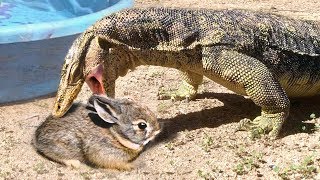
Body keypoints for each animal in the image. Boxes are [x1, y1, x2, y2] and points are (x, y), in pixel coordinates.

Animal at [33, 94, 161, 170]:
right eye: (142, 125)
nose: (157, 130)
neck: (115, 135)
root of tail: (37, 136)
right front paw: (133, 165)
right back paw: (74, 163)